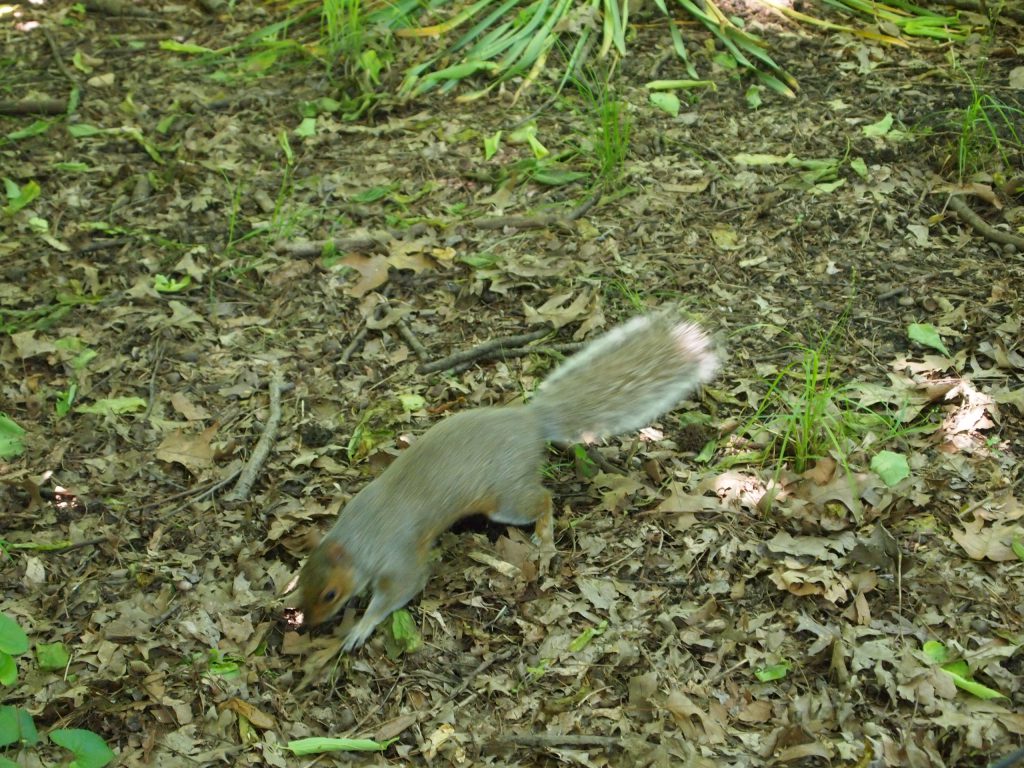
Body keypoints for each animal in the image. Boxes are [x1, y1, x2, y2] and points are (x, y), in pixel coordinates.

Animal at [296, 309, 720, 651]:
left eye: (330, 593)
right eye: (301, 580)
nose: (308, 624)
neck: (362, 535)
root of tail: (531, 422)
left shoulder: (402, 559)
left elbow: (400, 591)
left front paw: (360, 628)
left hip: (506, 500)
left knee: (543, 498)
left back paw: (545, 537)